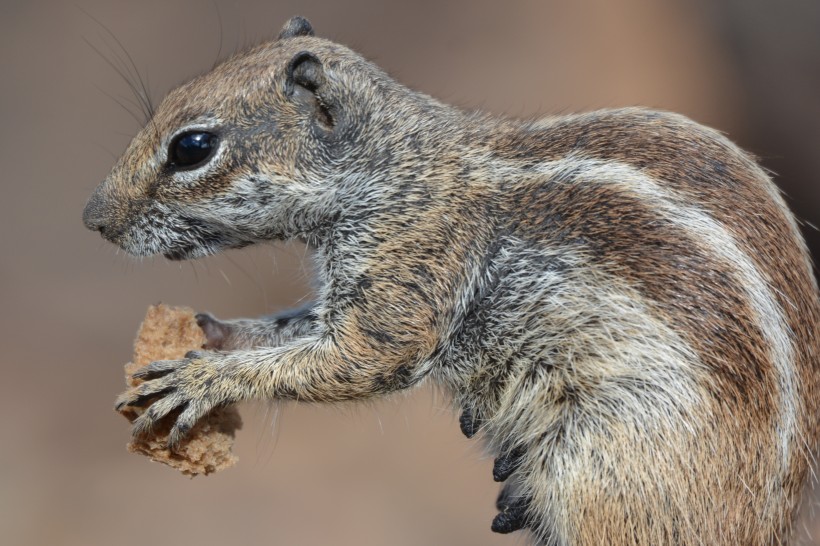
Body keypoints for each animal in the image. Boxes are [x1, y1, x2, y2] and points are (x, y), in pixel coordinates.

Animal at [83, 14, 820, 540]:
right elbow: (294, 327)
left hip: (601, 469)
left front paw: (205, 379)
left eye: (192, 147)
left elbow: (357, 358)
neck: (395, 168)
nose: (93, 217)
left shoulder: (411, 268)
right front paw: (213, 333)